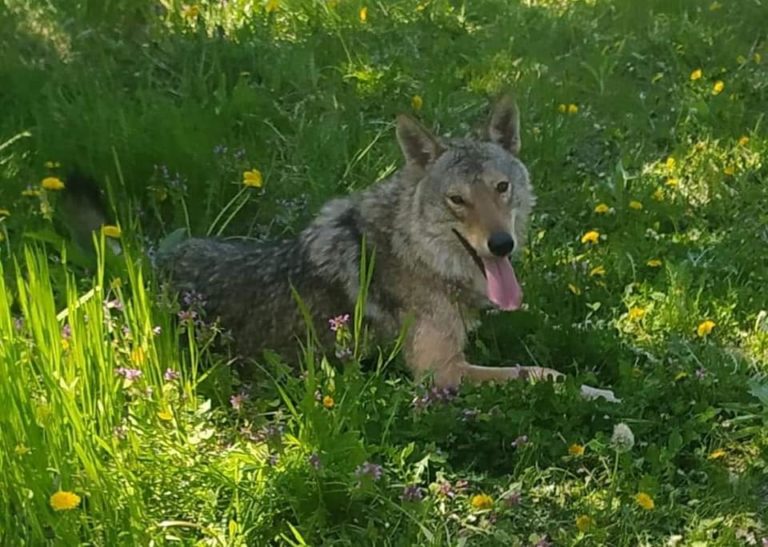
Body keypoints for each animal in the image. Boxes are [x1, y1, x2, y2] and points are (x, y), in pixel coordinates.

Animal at [152, 94, 564, 388]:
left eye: (501, 187)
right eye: (457, 200)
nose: (502, 244)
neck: (414, 252)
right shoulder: (442, 373)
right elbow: (538, 373)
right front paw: (576, 384)